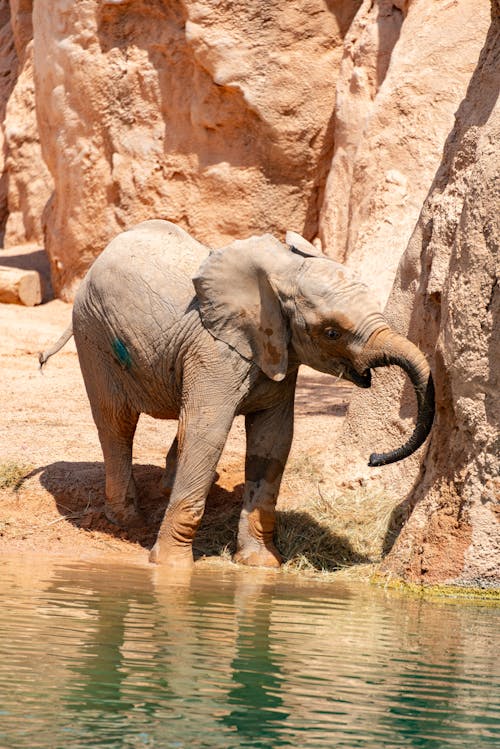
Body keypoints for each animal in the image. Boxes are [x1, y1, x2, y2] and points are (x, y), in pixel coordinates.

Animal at [40, 219, 434, 568]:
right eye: (332, 332)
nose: (373, 457)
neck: (281, 275)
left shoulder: (279, 353)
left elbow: (273, 440)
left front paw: (260, 564)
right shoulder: (214, 352)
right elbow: (207, 434)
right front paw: (170, 568)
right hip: (92, 332)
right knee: (117, 421)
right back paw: (126, 520)